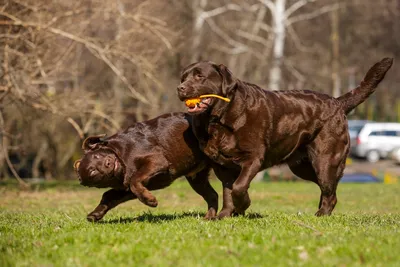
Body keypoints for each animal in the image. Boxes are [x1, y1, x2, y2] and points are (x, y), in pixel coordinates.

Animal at [75, 112, 219, 222]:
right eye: (92, 172)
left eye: (97, 156)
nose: (108, 163)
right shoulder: (126, 189)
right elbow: (109, 195)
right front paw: (95, 214)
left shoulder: (156, 160)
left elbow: (135, 180)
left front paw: (150, 200)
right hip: (197, 179)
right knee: (213, 195)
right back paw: (209, 217)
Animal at [177, 57, 392, 217]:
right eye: (183, 78)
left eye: (200, 76)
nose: (180, 88)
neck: (218, 118)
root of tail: (337, 102)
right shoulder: (222, 166)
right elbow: (228, 191)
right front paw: (225, 215)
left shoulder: (252, 158)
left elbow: (238, 187)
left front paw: (243, 205)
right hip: (302, 167)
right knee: (328, 189)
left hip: (326, 160)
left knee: (329, 190)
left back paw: (321, 214)